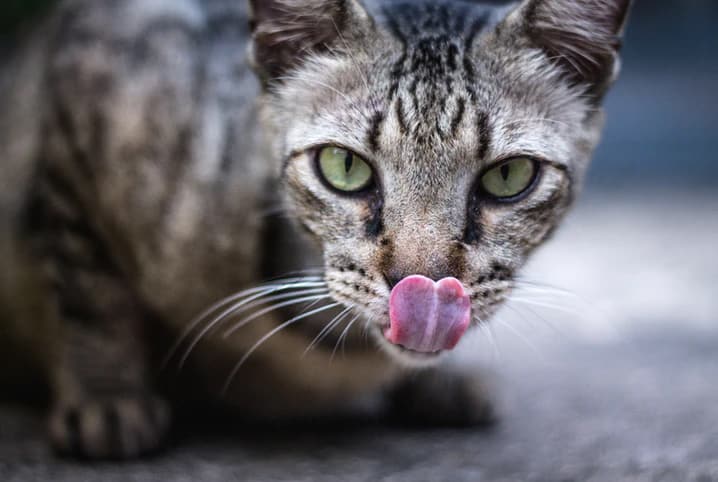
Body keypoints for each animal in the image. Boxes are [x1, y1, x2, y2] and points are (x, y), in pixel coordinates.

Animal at [0, 0, 632, 460]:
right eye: (343, 167)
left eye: (508, 176)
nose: (424, 286)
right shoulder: (85, 97)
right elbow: (89, 292)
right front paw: (108, 397)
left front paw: (438, 384)